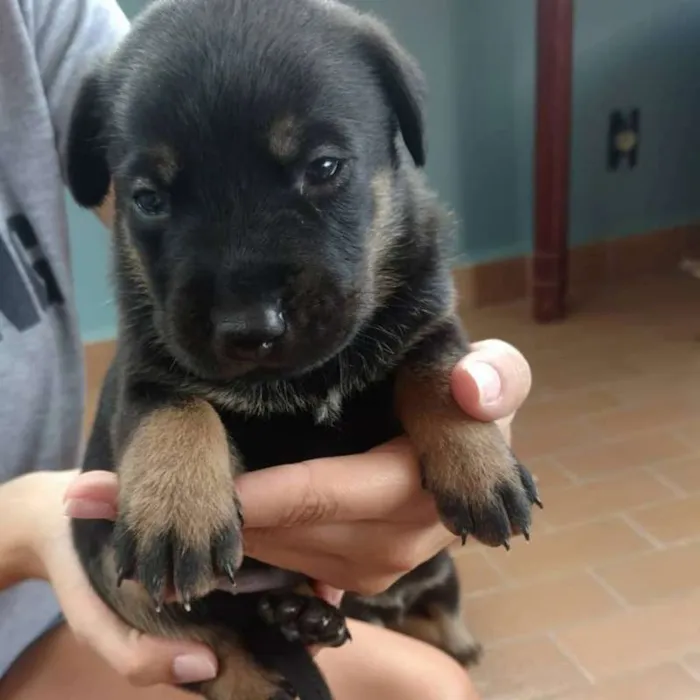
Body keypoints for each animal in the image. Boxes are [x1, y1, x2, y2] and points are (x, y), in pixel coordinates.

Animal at [67, 1, 540, 700]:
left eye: (323, 167)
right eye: (147, 200)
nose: (250, 327)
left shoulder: (428, 318)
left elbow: (439, 372)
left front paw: (482, 465)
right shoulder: (148, 365)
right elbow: (174, 410)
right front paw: (177, 508)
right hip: (107, 564)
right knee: (223, 634)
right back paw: (287, 629)